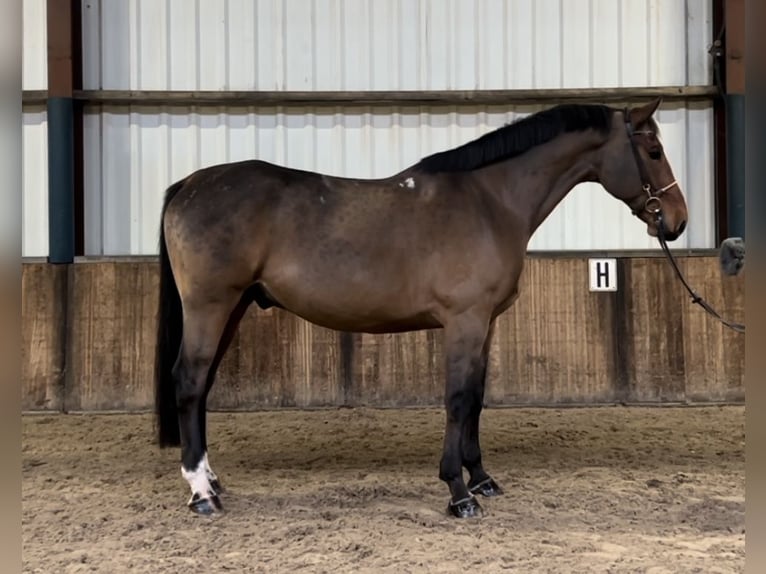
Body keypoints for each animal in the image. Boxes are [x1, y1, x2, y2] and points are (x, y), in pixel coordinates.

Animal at [153, 97, 688, 520]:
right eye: (654, 152)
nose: (678, 220)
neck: (490, 201)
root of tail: (188, 184)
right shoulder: (464, 321)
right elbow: (457, 399)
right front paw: (458, 493)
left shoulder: (485, 324)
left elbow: (477, 398)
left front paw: (481, 478)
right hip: (211, 306)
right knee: (189, 381)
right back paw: (202, 494)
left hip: (234, 307)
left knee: (203, 386)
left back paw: (212, 481)